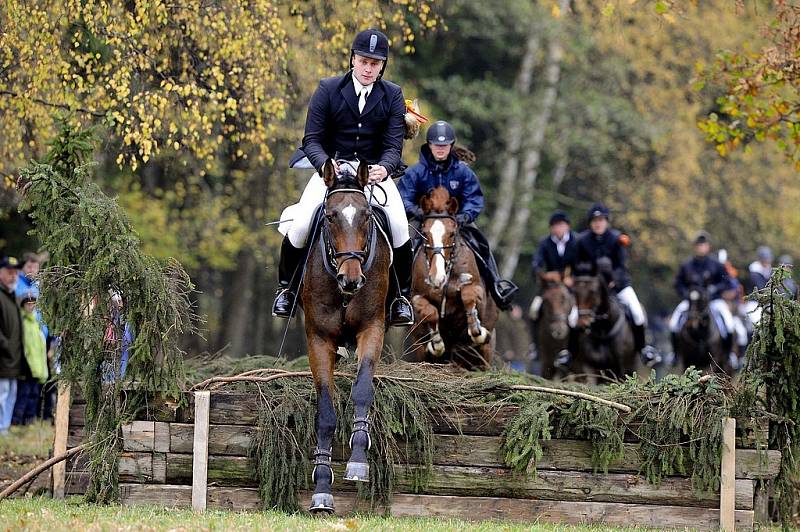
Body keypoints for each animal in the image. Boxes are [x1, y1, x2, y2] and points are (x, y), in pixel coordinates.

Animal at [296, 160, 390, 512]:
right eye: (330, 217)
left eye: (366, 216)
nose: (351, 280)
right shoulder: (319, 339)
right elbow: (325, 411)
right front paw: (322, 488)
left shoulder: (372, 328)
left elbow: (362, 390)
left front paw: (359, 460)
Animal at [410, 187, 496, 370]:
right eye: (425, 234)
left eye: (451, 234)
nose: (437, 278)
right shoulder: (416, 297)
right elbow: (430, 312)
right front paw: (436, 344)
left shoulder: (476, 289)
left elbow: (468, 296)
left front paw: (476, 330)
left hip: (485, 353)